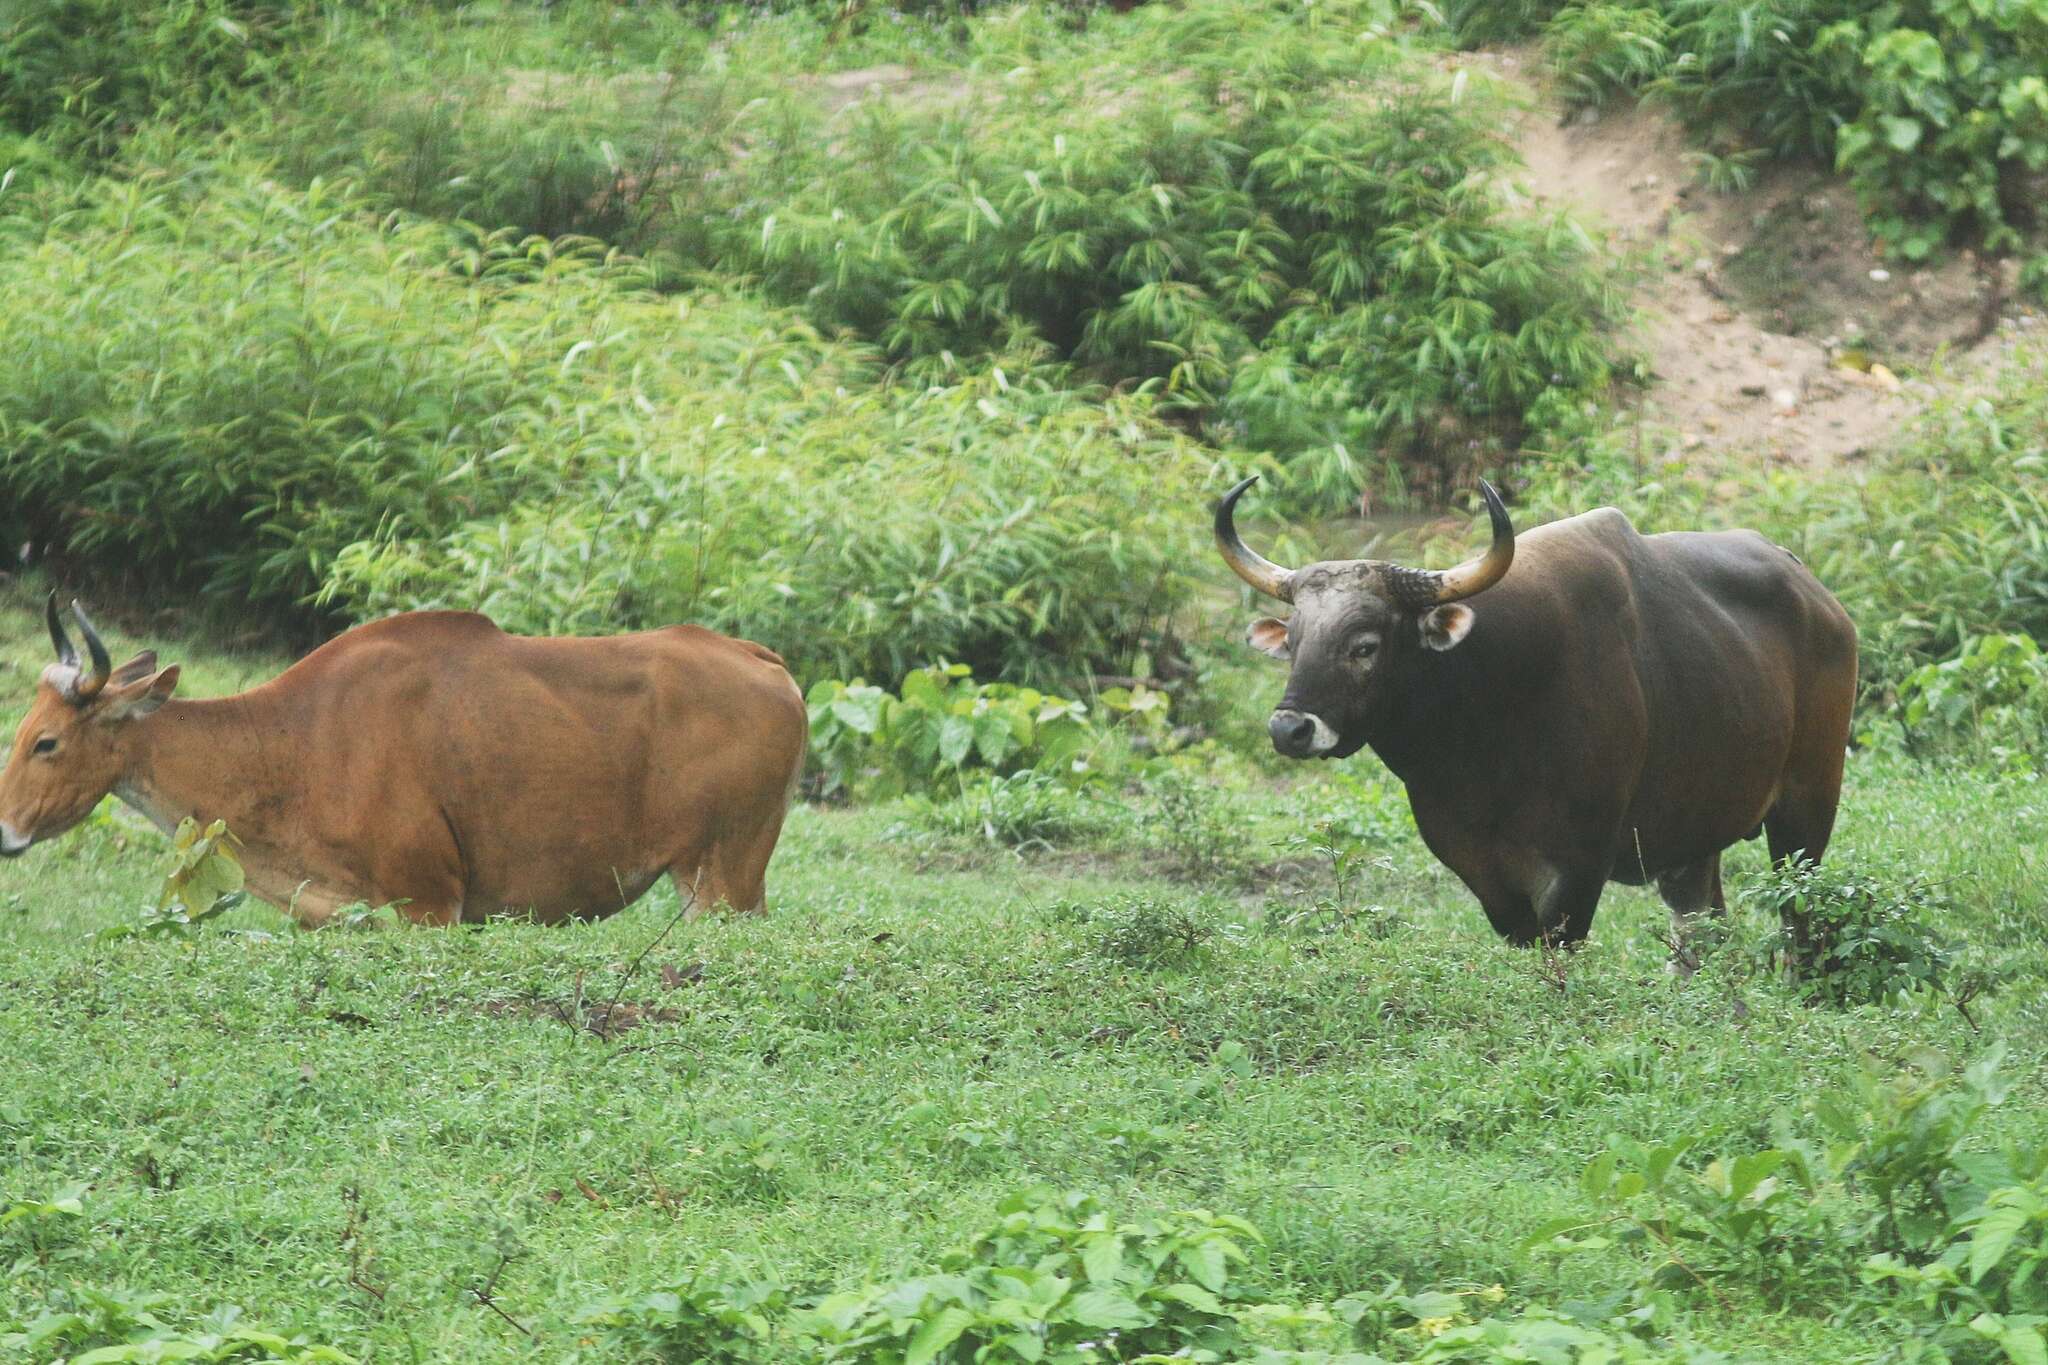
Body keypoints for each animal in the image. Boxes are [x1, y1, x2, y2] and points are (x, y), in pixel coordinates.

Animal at [1212, 480, 1859, 949]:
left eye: (1364, 645)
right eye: (1295, 640)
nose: (1290, 729)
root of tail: (1822, 600)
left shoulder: (1578, 865)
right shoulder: (1484, 873)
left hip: (1807, 810)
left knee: (1798, 919)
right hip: (1693, 839)